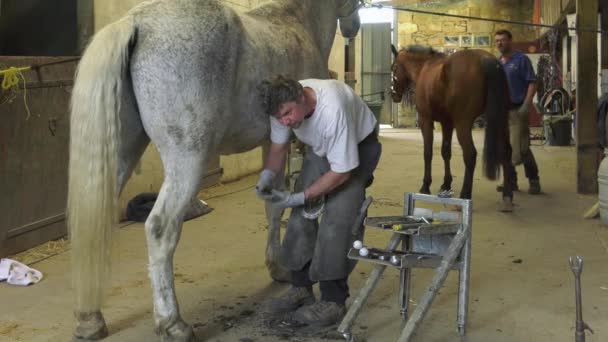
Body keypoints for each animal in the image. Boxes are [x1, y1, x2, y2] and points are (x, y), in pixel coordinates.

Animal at [67, 0, 360, 340]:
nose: (353, 28)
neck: (298, 21)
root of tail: (135, 22)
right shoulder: (298, 141)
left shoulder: (271, 143)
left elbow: (273, 206)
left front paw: (276, 267)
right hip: (187, 159)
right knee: (160, 229)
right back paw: (173, 324)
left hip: (120, 157)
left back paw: (90, 319)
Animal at [392, 45, 516, 211]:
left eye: (394, 68)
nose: (393, 94)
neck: (425, 67)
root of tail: (486, 59)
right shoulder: (447, 123)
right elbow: (446, 152)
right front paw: (446, 184)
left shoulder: (426, 121)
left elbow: (428, 152)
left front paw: (426, 185)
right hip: (500, 120)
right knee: (506, 152)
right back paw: (507, 196)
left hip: (463, 123)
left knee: (470, 154)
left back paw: (465, 195)